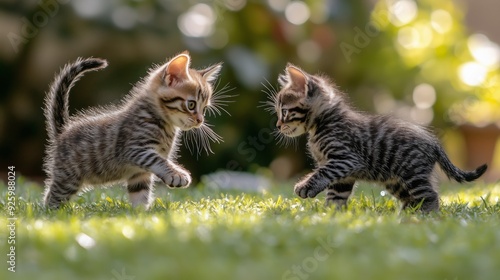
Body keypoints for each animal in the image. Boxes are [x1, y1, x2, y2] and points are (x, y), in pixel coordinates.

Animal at [43, 53, 223, 210]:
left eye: (204, 108)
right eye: (191, 105)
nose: (200, 120)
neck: (160, 121)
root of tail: (63, 131)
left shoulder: (139, 173)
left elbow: (140, 193)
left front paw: (141, 214)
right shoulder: (134, 149)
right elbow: (159, 160)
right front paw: (177, 174)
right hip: (68, 178)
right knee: (51, 196)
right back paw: (51, 213)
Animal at [270, 64, 488, 212]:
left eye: (284, 112)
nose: (278, 125)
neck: (323, 124)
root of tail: (434, 142)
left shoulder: (345, 159)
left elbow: (322, 173)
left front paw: (305, 187)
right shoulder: (344, 175)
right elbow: (336, 196)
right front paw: (331, 215)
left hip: (412, 173)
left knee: (430, 195)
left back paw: (425, 218)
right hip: (396, 181)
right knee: (412, 199)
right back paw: (406, 215)